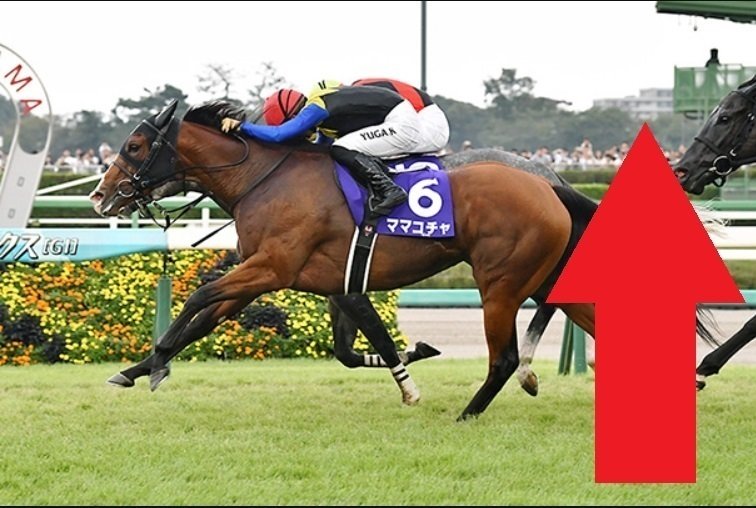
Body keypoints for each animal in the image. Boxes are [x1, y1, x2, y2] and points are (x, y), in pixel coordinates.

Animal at [89, 99, 597, 421]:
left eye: (134, 146)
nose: (99, 196)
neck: (265, 179)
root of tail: (549, 183)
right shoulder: (290, 277)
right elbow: (206, 321)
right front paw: (135, 370)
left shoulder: (271, 267)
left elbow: (198, 298)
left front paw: (157, 364)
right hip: (538, 277)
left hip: (501, 284)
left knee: (504, 359)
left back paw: (469, 413)